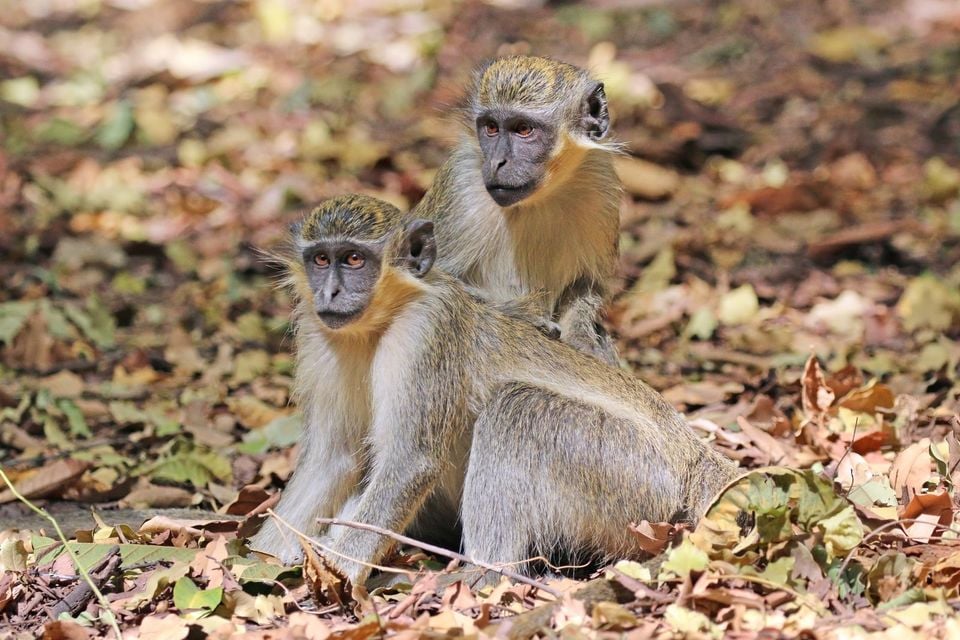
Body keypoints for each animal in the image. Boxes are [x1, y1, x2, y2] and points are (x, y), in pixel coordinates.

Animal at [248, 195, 738, 586]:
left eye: (353, 260)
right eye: (320, 260)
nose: (329, 292)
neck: (379, 323)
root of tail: (691, 457)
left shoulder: (428, 328)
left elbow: (410, 463)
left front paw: (335, 573)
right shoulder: (320, 336)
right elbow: (332, 460)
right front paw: (259, 562)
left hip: (633, 480)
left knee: (515, 411)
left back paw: (482, 576)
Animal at [413, 55, 622, 364]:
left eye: (523, 129)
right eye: (491, 127)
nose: (496, 161)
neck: (542, 196)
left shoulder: (601, 190)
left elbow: (586, 282)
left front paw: (583, 339)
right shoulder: (462, 189)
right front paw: (525, 312)